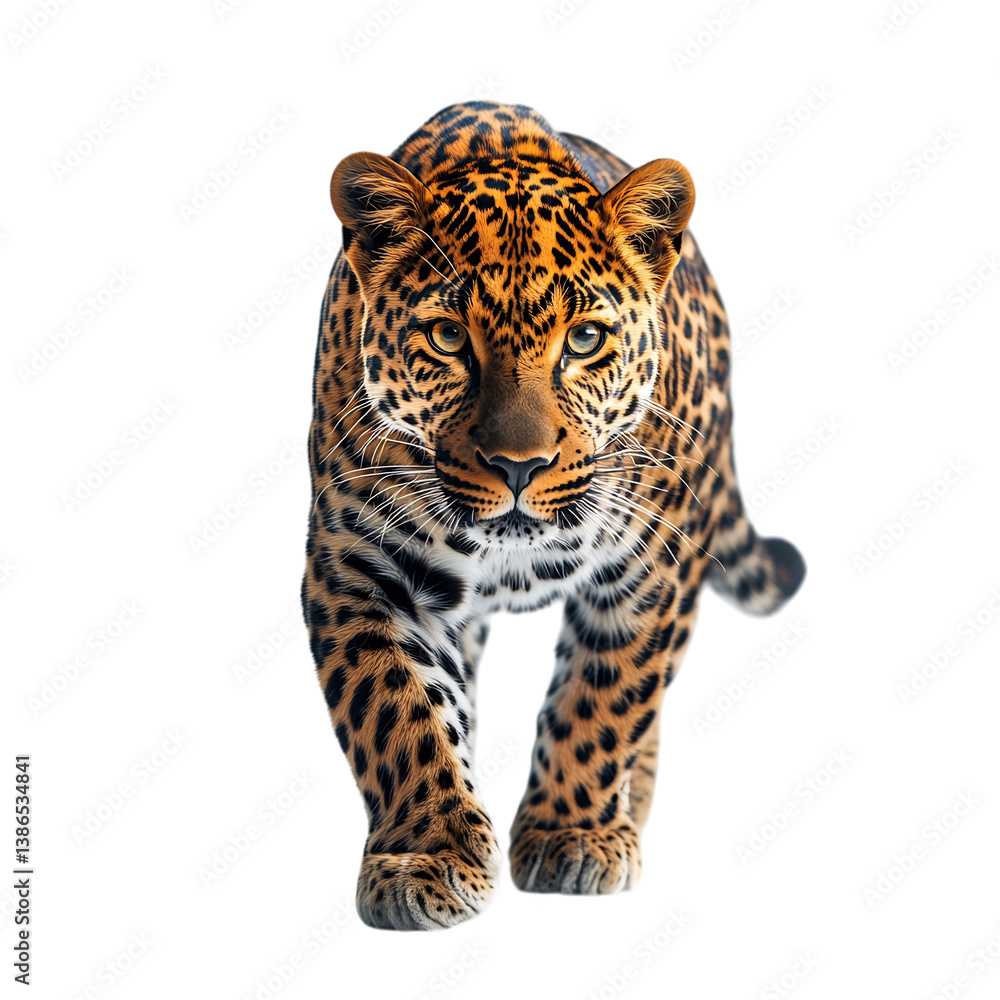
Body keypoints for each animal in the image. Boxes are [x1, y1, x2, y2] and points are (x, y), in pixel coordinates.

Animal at [301, 101, 805, 930]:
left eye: (586, 339)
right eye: (448, 337)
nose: (518, 466)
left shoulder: (654, 567)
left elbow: (604, 698)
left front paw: (574, 836)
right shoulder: (358, 569)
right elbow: (398, 712)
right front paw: (428, 857)